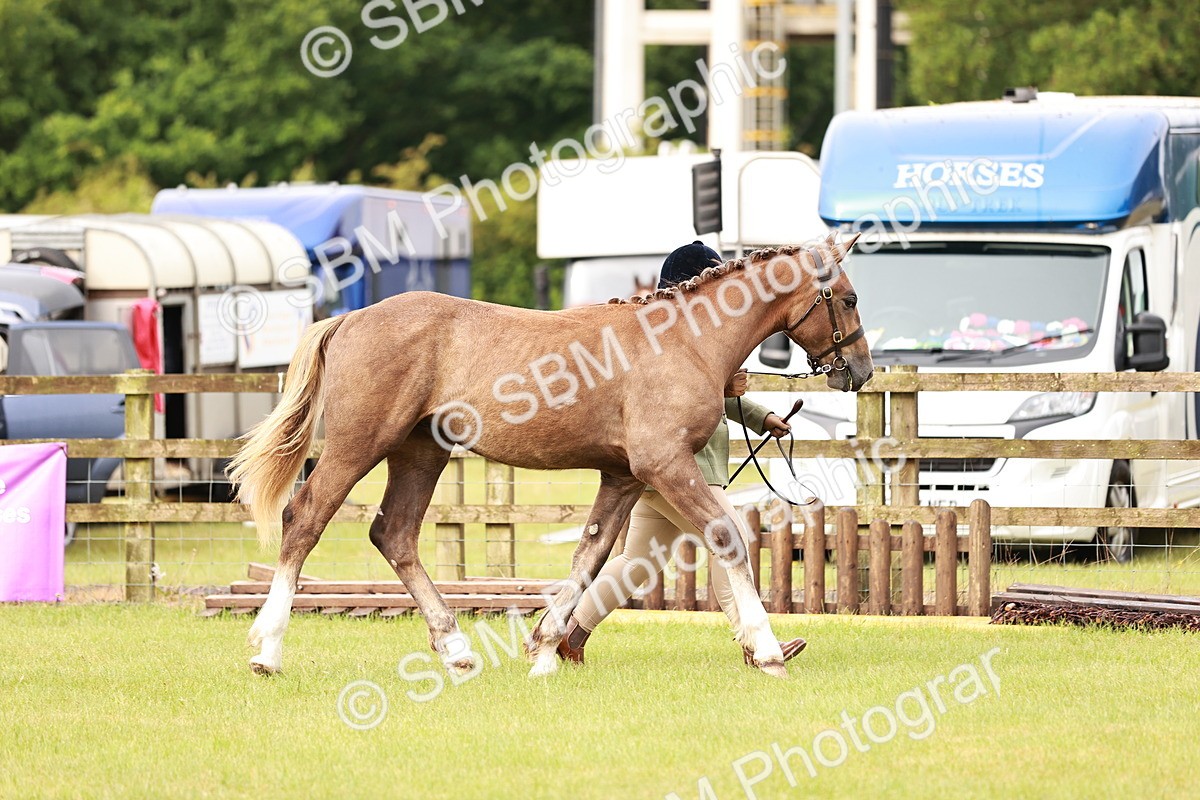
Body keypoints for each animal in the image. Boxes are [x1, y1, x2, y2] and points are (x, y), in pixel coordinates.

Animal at [229, 234, 872, 679]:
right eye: (848, 298)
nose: (860, 372)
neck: (685, 340)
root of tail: (350, 318)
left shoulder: (623, 477)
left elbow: (591, 556)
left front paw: (543, 649)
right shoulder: (665, 466)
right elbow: (727, 537)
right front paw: (767, 651)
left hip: (420, 453)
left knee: (395, 535)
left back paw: (456, 650)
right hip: (357, 446)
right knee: (305, 520)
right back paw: (268, 650)